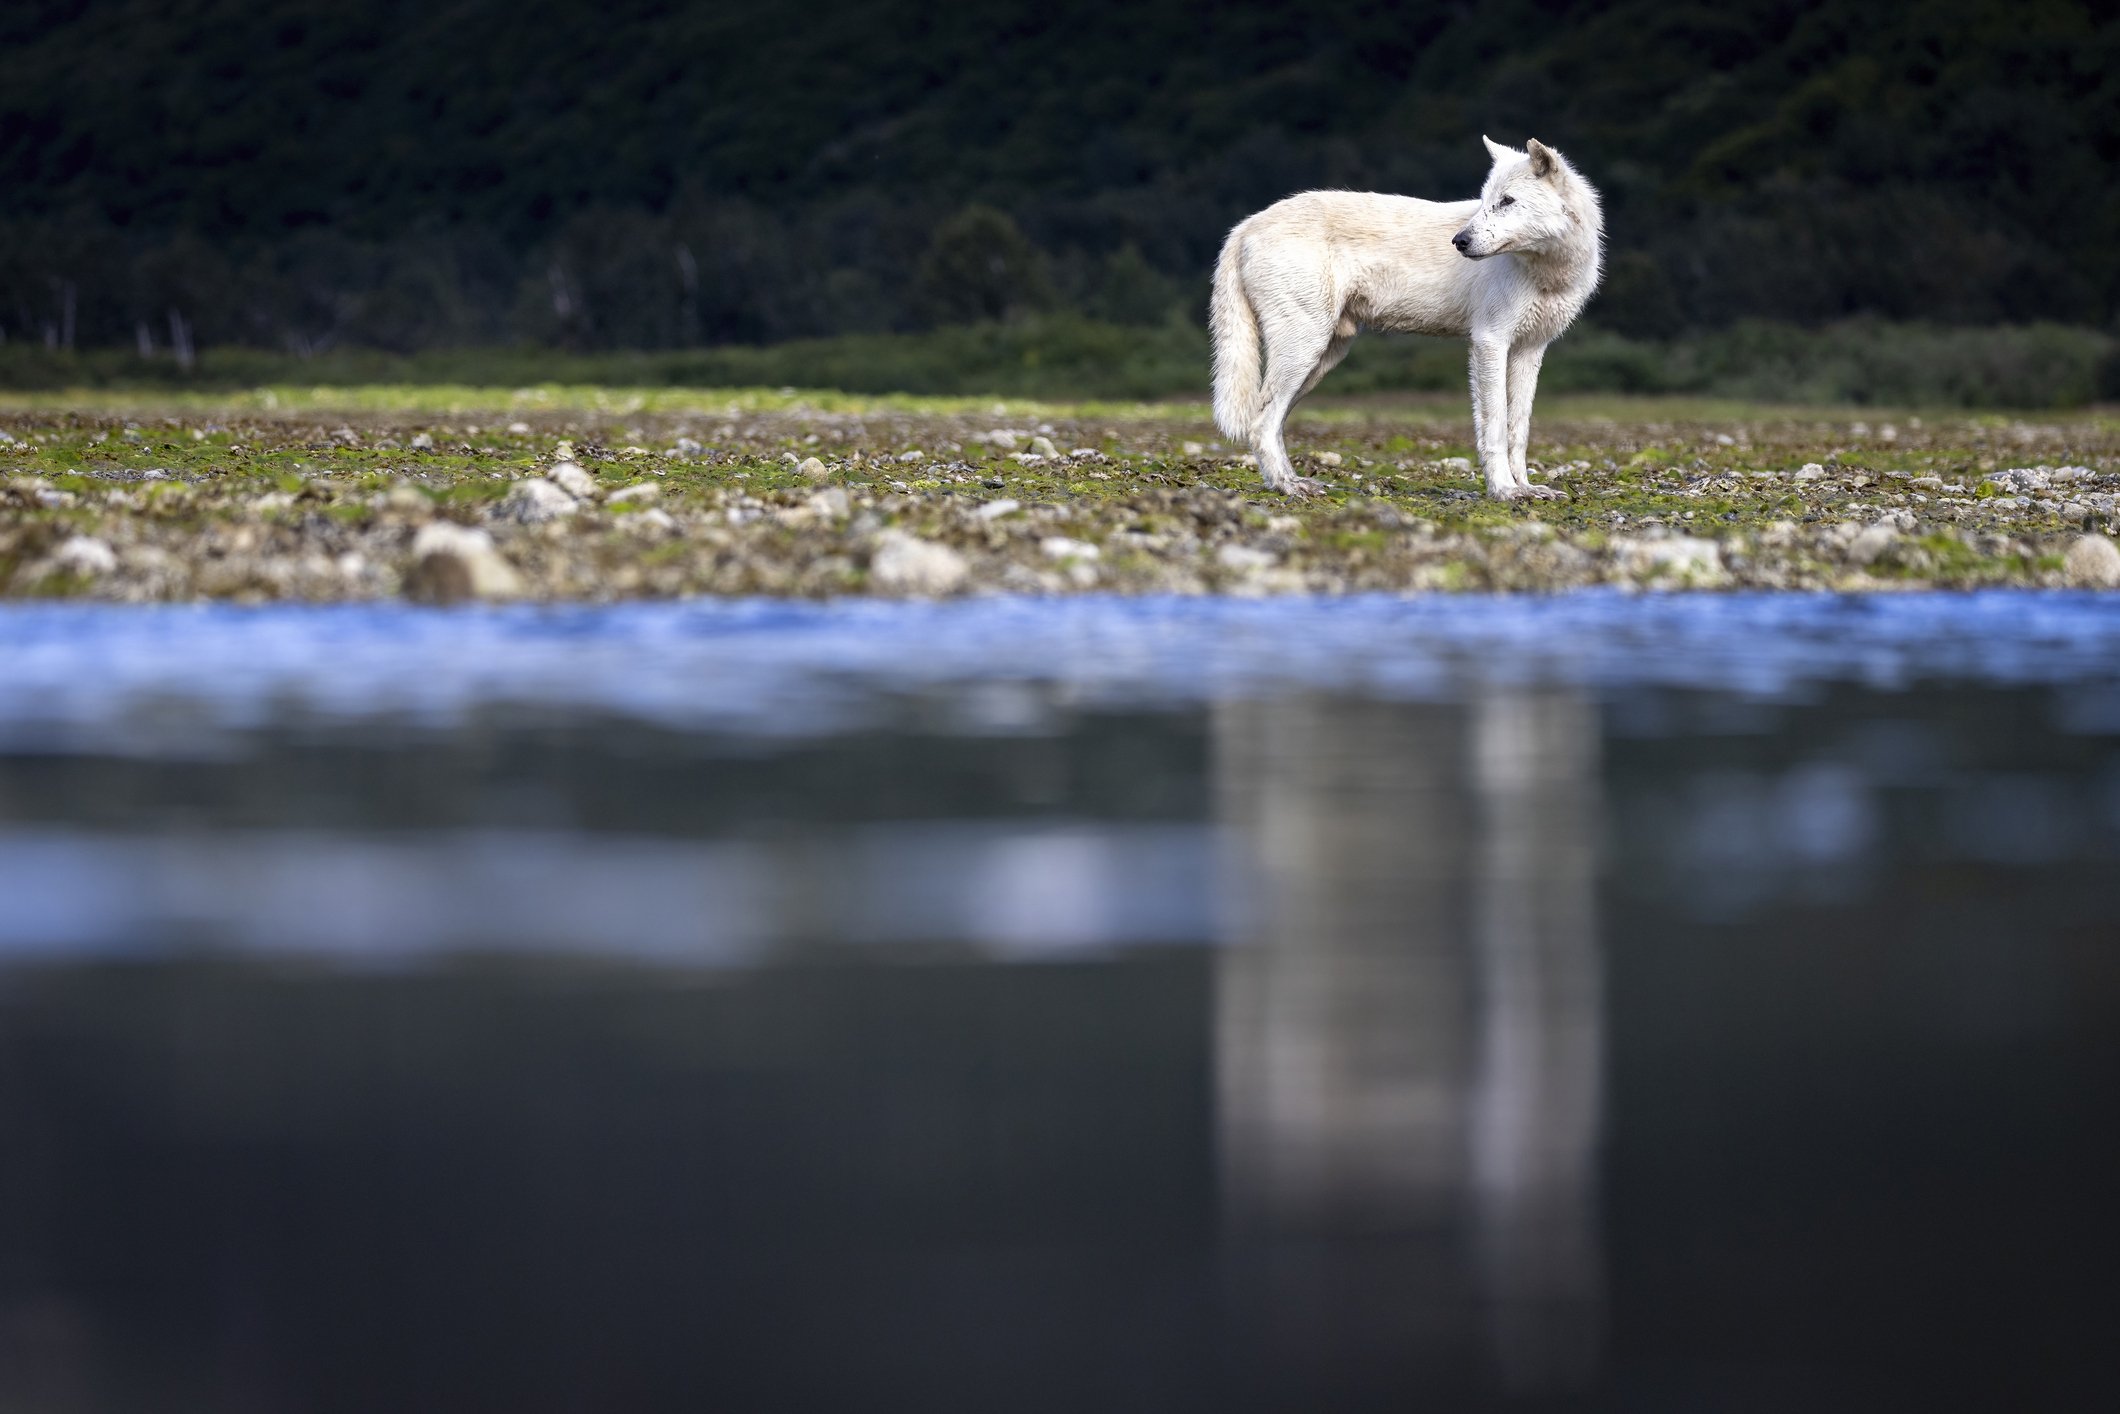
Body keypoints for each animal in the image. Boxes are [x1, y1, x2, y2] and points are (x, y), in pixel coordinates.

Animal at [1210, 137, 1603, 499]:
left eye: (1506, 201)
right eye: (1484, 201)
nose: (1459, 241)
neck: (1550, 273)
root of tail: (1245, 225)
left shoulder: (1530, 350)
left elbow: (1518, 429)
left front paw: (1527, 488)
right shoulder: (1490, 342)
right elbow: (1495, 427)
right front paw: (1504, 490)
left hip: (1322, 358)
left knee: (1268, 423)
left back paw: (1291, 481)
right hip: (1305, 349)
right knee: (1260, 422)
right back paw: (1288, 487)